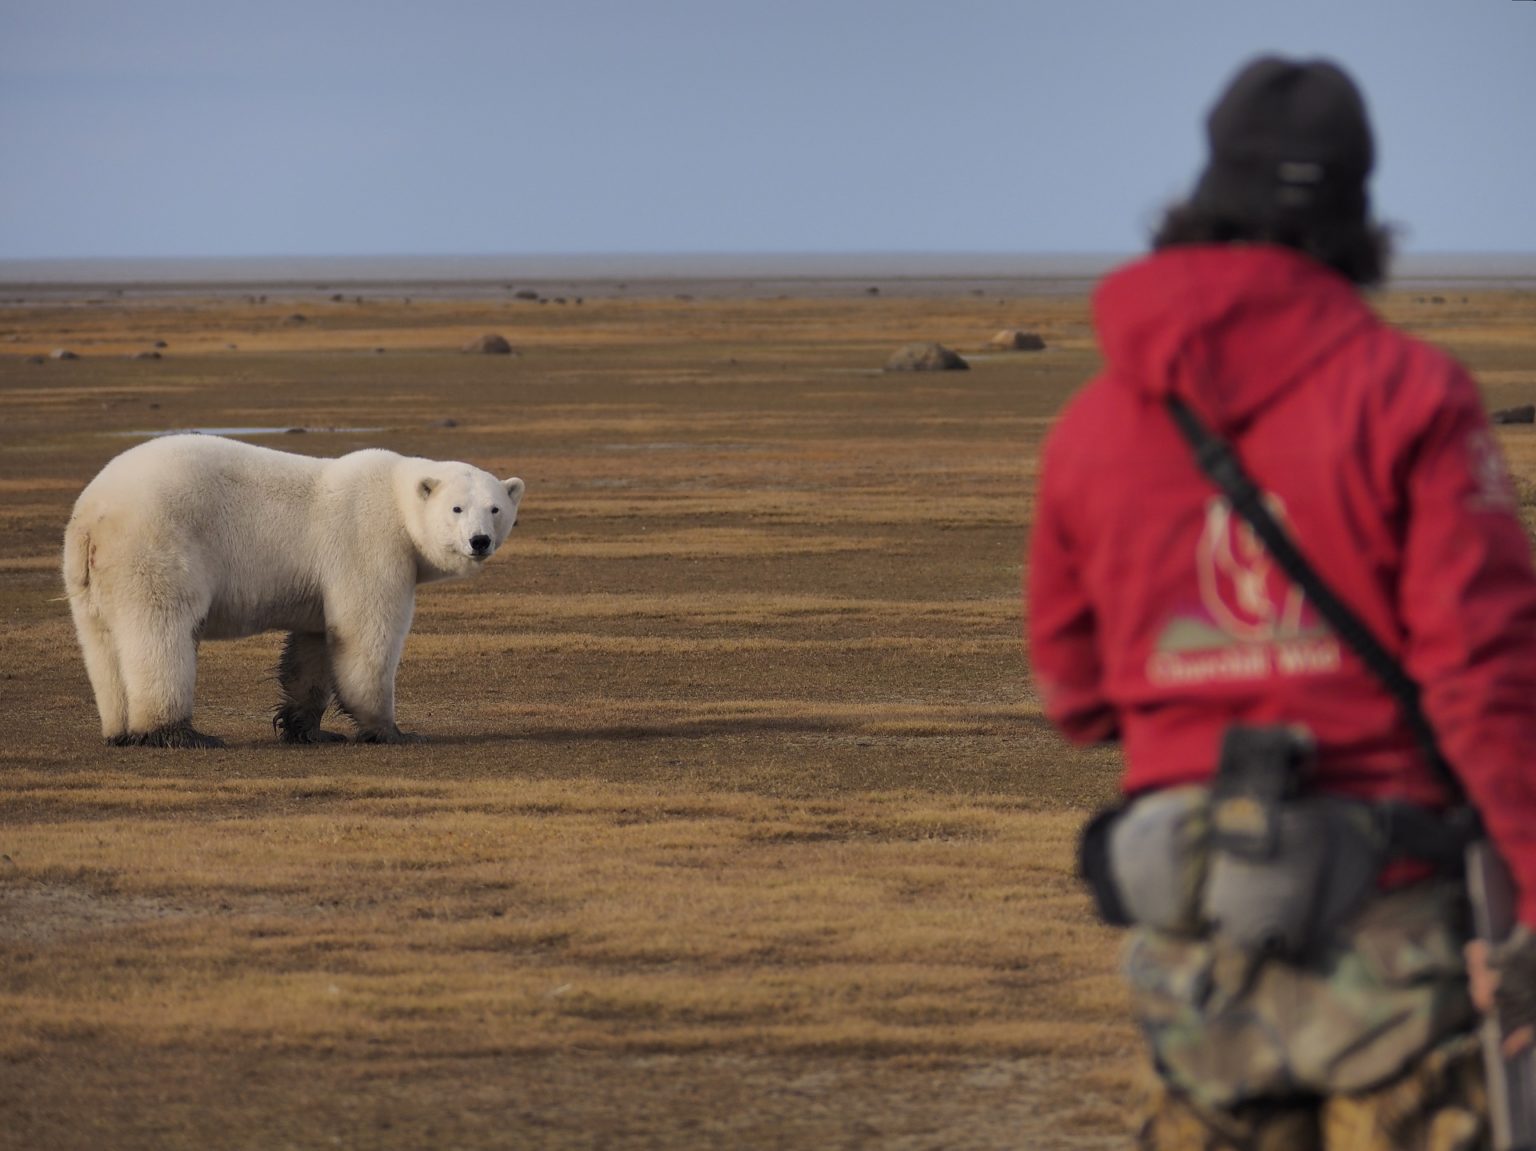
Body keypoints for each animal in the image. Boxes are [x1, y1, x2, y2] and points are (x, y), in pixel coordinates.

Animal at [61, 433, 522, 746]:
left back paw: (119, 730)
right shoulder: (368, 542)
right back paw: (178, 733)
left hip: (88, 577)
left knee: (101, 642)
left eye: (496, 508)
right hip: (158, 544)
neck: (394, 499)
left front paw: (307, 727)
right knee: (162, 632)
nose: (479, 540)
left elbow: (313, 646)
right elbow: (365, 634)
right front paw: (390, 729)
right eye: (457, 508)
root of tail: (93, 513)